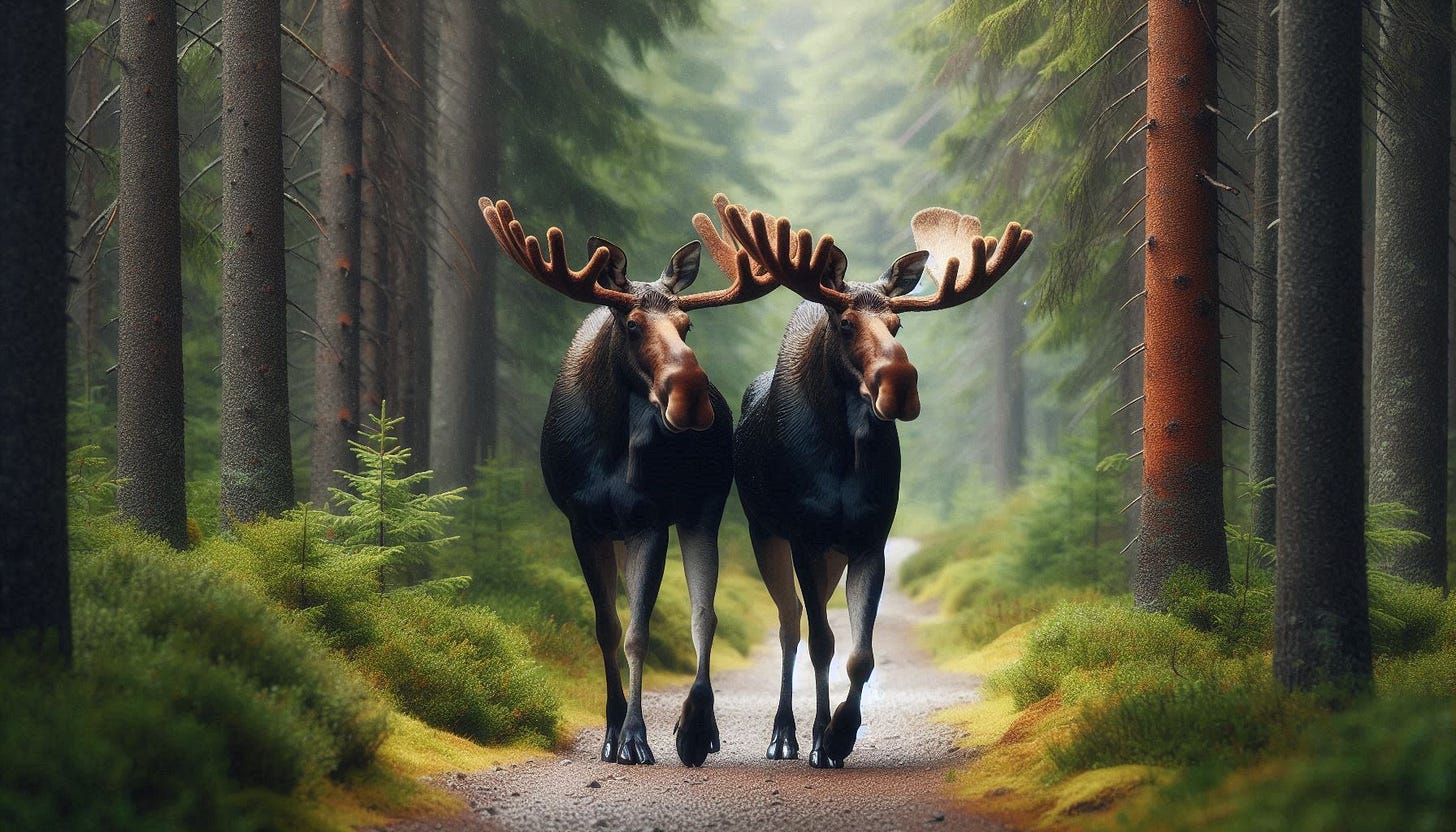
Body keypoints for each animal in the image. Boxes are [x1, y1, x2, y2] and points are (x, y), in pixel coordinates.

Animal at [477, 196, 777, 767]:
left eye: (687, 324)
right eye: (633, 324)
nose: (693, 397)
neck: (608, 443)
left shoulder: (648, 520)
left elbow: (639, 632)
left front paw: (638, 735)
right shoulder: (583, 523)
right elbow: (607, 628)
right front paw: (614, 731)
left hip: (703, 509)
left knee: (705, 615)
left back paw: (697, 727)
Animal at [693, 195, 1033, 768]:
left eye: (898, 324)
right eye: (846, 321)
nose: (900, 383)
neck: (845, 459)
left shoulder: (871, 540)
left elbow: (862, 655)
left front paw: (838, 735)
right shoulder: (805, 538)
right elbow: (822, 642)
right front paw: (818, 736)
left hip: (831, 554)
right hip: (767, 535)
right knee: (789, 626)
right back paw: (784, 734)